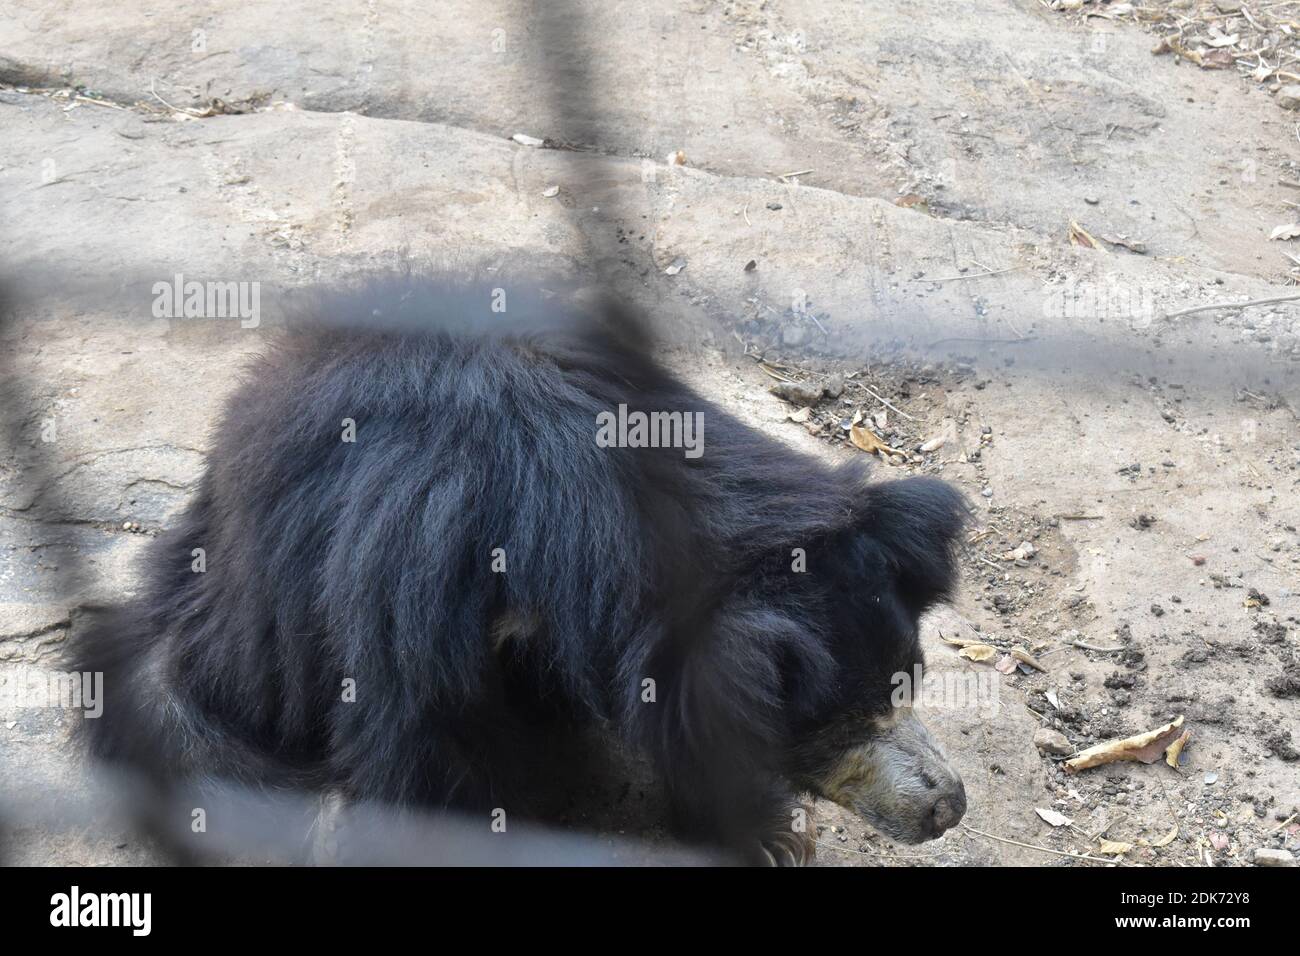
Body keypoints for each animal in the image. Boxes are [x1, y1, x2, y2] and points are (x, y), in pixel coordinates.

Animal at [71, 277, 967, 868]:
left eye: (910, 681)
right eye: (844, 722)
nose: (946, 804)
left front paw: (767, 834)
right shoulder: (421, 570)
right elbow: (423, 733)